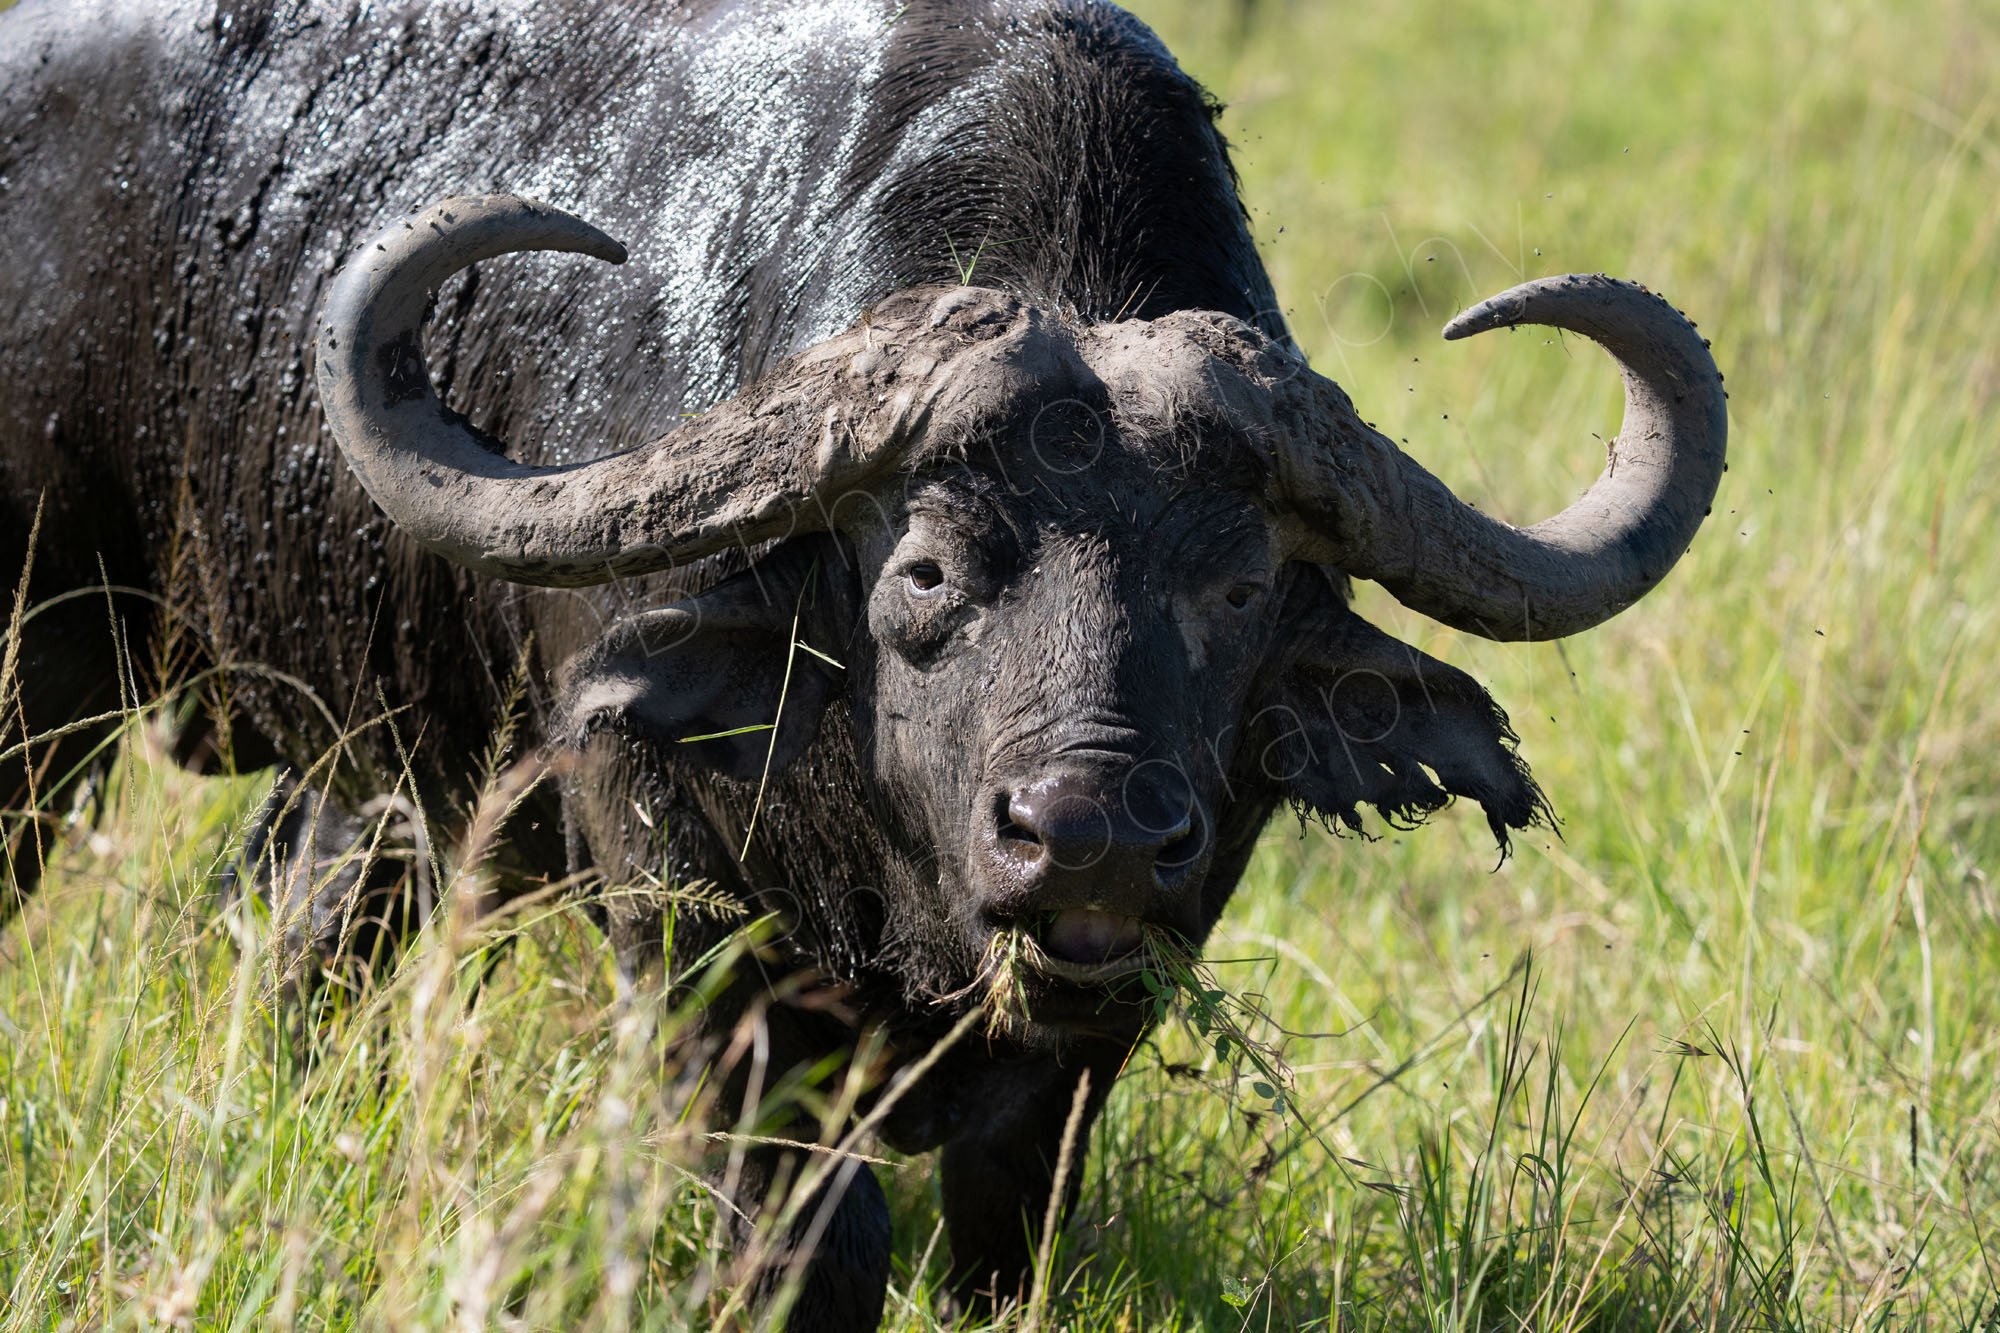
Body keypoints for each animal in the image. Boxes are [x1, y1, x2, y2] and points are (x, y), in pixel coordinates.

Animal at [0, 1, 1726, 1327]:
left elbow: (1008, 1218)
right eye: (925, 573)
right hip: (44, 674)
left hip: (377, 770)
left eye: (1241, 585)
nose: (1089, 835)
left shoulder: (1107, 1013)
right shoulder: (693, 936)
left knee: (303, 929)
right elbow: (812, 1237)